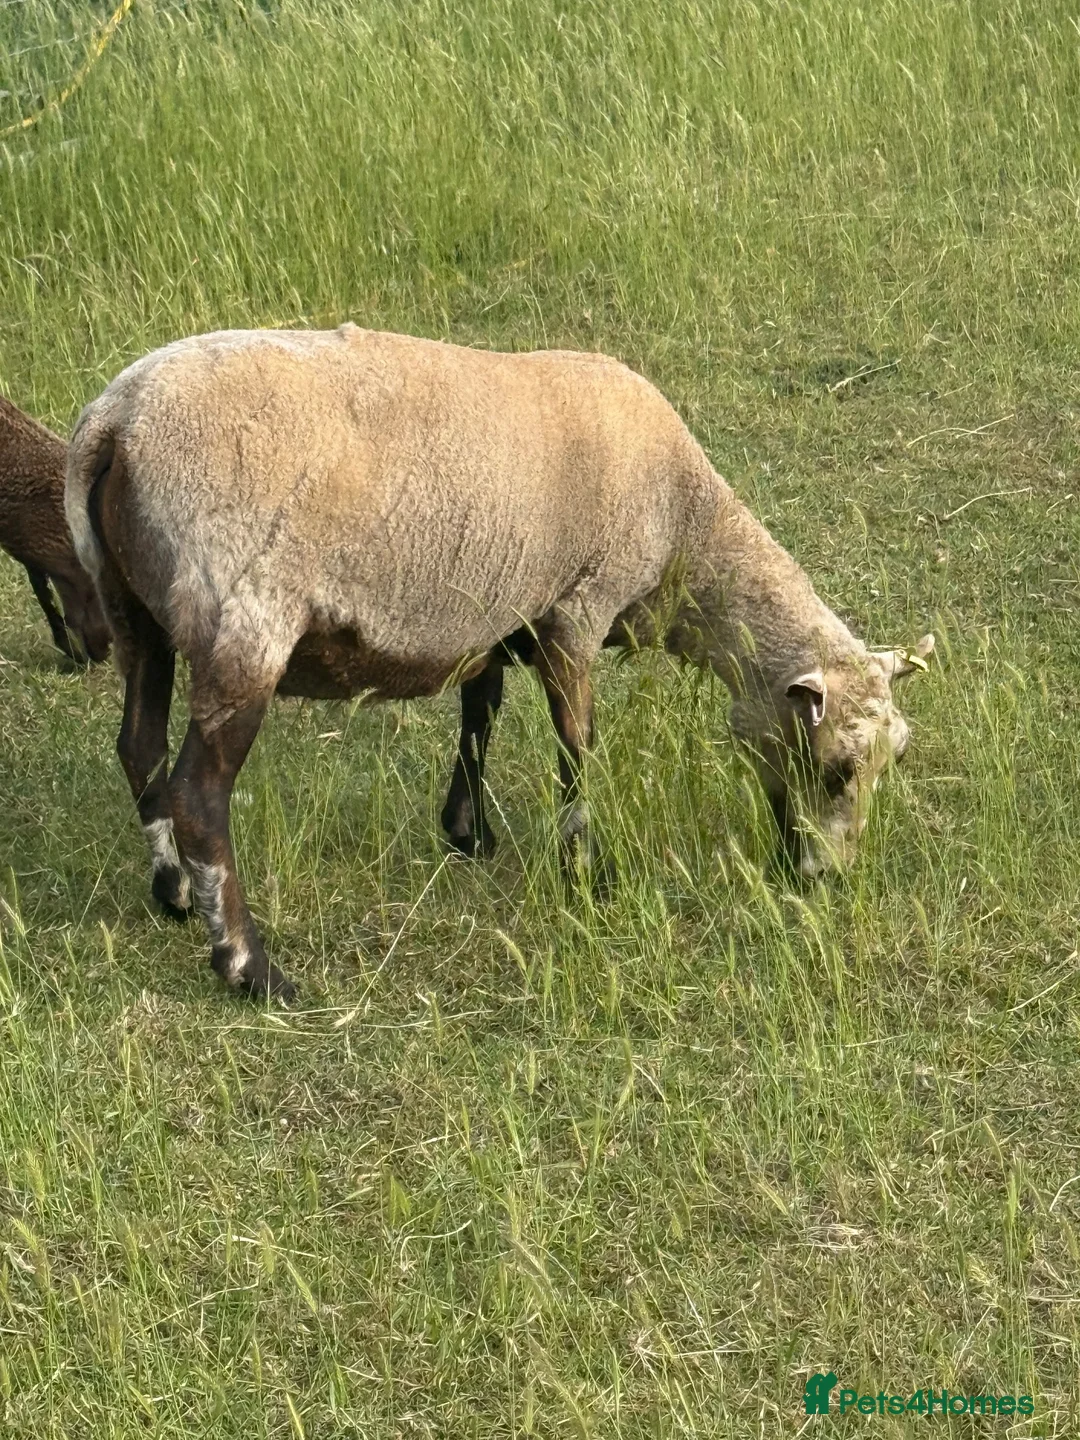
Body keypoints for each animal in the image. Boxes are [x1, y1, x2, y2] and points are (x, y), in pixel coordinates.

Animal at [66, 324, 934, 1001]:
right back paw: (249, 966)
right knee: (199, 793)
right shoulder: (577, 609)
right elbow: (577, 749)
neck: (688, 534)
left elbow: (478, 717)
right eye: (837, 768)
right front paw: (585, 868)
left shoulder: (488, 617)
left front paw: (467, 832)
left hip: (134, 609)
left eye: (891, 759)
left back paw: (175, 892)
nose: (827, 880)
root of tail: (111, 423)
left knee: (138, 747)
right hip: (241, 617)